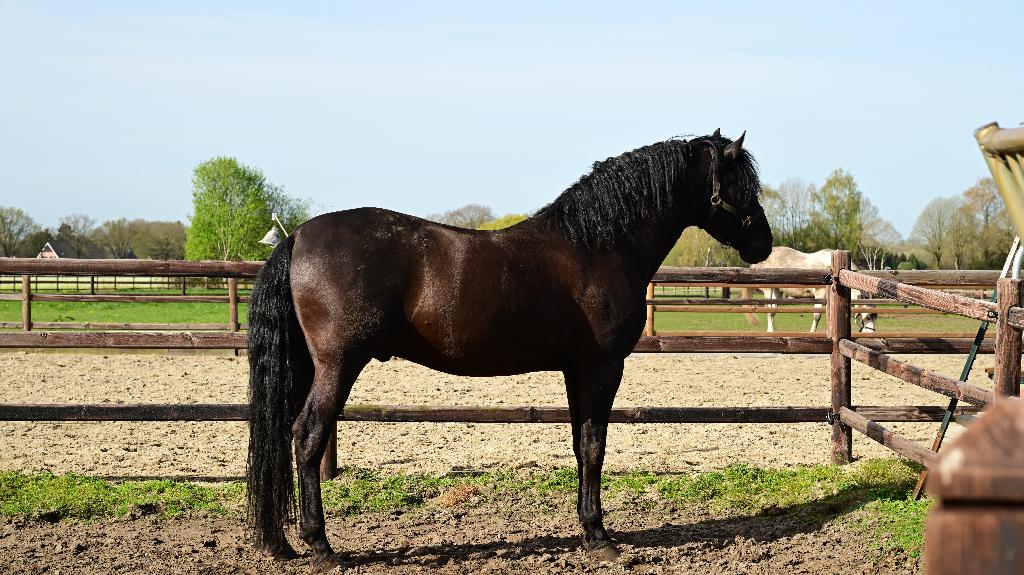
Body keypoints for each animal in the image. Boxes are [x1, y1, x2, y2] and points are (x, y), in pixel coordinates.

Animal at [245, 130, 773, 569]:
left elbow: (580, 446)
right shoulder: (602, 367)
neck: (598, 246)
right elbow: (595, 446)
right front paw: (601, 539)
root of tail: (297, 236)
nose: (764, 245)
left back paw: (284, 541)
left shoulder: (575, 370)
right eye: (742, 184)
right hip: (337, 365)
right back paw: (321, 547)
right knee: (308, 436)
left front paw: (588, 531)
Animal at [741, 246, 877, 333]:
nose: (872, 333)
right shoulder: (820, 294)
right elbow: (817, 315)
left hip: (777, 291)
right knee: (769, 311)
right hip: (769, 290)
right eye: (868, 317)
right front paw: (812, 332)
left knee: (773, 311)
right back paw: (770, 331)